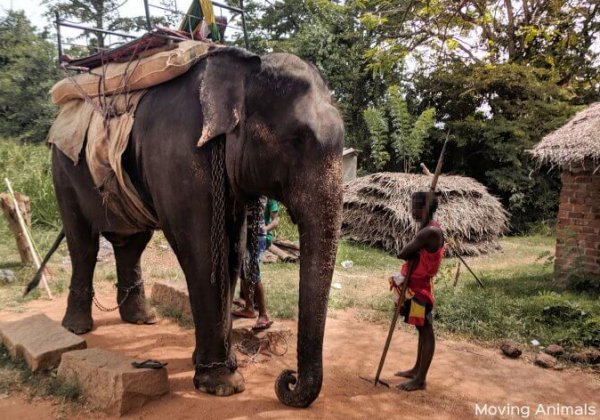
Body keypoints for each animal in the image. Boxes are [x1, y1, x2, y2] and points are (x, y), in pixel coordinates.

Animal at [31, 47, 342, 408]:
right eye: (295, 140)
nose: (288, 379)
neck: (244, 69)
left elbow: (231, 251)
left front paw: (213, 368)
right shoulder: (179, 154)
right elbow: (202, 248)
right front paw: (222, 385)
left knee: (131, 242)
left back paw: (142, 318)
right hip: (63, 171)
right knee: (83, 242)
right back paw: (78, 329)